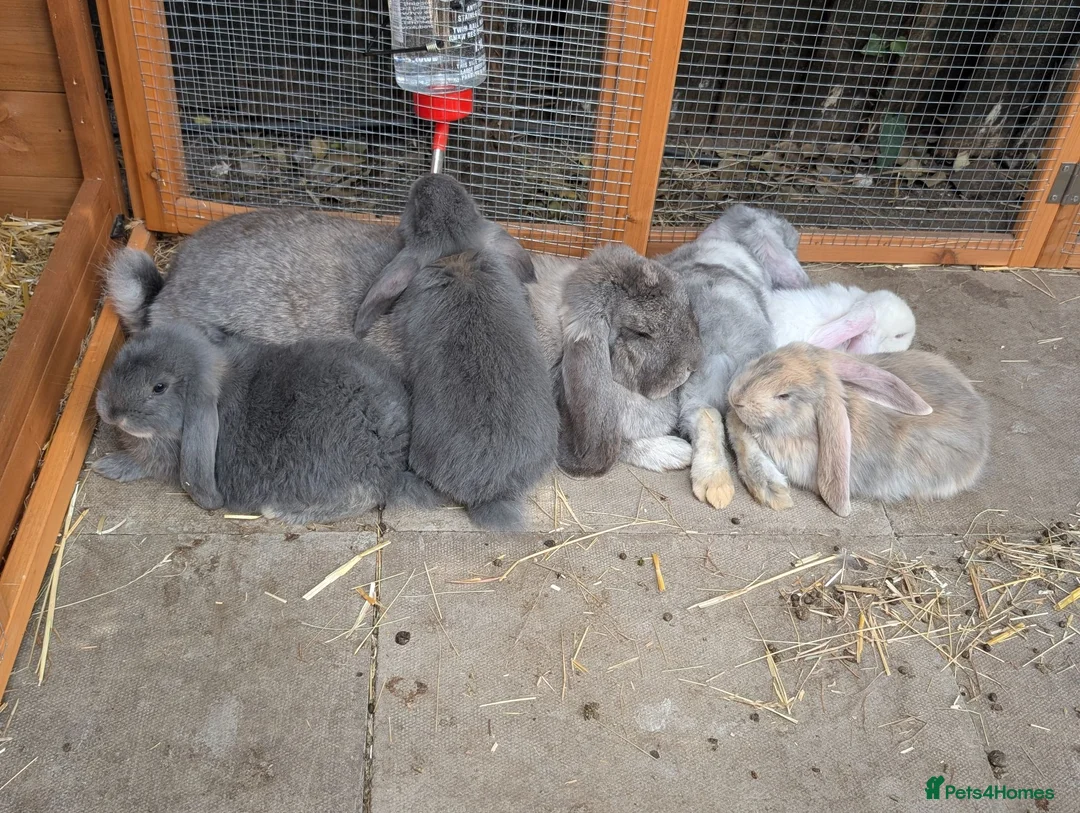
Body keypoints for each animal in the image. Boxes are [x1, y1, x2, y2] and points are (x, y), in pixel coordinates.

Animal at [92, 323, 435, 524]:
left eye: (159, 387)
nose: (107, 410)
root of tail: (389, 458)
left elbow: (143, 464)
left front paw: (107, 467)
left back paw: (277, 511)